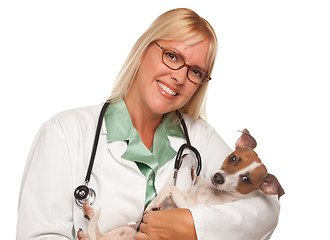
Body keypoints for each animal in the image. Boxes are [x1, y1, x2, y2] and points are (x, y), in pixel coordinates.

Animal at [76, 128, 284, 239]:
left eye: (246, 179)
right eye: (233, 158)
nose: (218, 177)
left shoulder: (190, 205)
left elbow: (170, 187)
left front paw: (154, 203)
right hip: (125, 229)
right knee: (97, 235)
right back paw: (88, 216)